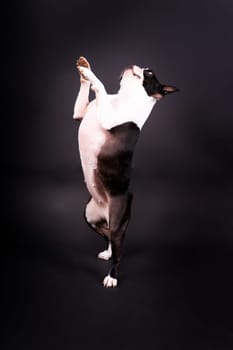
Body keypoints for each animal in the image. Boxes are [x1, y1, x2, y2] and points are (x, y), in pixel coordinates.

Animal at [73, 56, 178, 288]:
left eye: (149, 72)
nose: (138, 65)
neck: (123, 98)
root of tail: (105, 208)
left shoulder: (108, 116)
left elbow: (100, 85)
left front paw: (90, 75)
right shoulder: (79, 113)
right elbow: (85, 94)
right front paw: (84, 69)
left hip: (118, 220)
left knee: (118, 250)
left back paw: (112, 277)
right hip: (90, 216)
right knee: (109, 238)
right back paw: (108, 252)